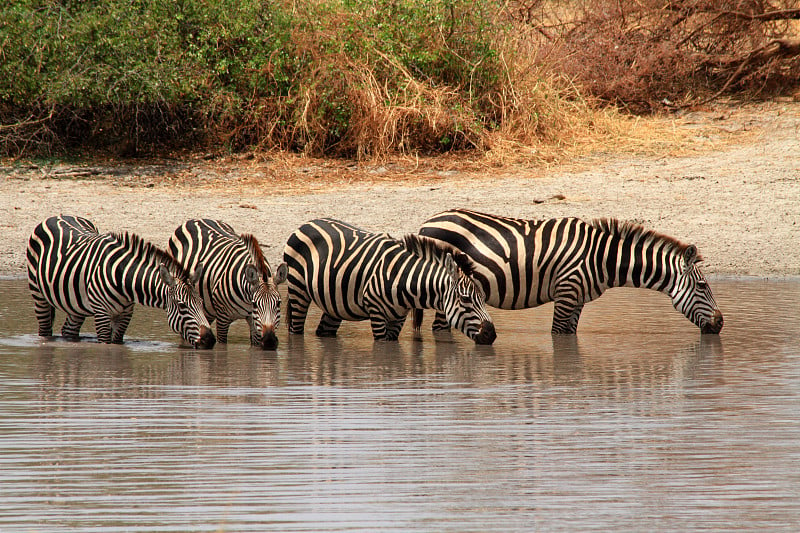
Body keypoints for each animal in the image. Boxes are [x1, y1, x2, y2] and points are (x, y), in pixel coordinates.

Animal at [27, 214, 216, 348]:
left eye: (201, 302)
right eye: (182, 305)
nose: (210, 340)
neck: (124, 279)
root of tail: (57, 215)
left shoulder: (125, 314)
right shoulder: (102, 313)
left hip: (75, 304)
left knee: (69, 331)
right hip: (38, 294)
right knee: (45, 329)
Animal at [167, 217, 290, 350]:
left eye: (278, 303)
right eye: (255, 304)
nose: (269, 342)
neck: (247, 299)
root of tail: (195, 219)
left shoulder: (254, 320)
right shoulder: (223, 319)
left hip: (206, 309)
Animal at [282, 218, 494, 342]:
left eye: (483, 299)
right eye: (465, 299)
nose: (491, 335)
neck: (404, 280)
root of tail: (306, 223)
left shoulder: (398, 317)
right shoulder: (375, 312)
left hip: (334, 303)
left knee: (324, 331)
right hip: (298, 289)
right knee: (295, 329)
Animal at [418, 208, 724, 332]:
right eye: (702, 286)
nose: (721, 324)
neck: (602, 257)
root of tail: (427, 222)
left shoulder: (578, 300)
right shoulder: (566, 292)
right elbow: (557, 335)